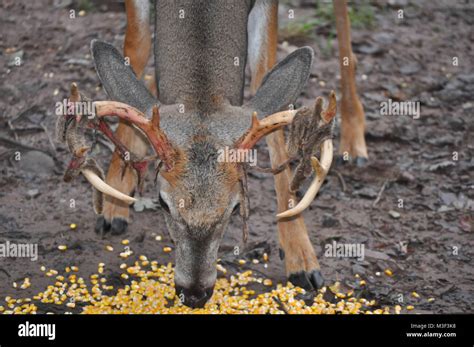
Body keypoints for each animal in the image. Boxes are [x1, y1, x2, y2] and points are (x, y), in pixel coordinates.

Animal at [55, 0, 366, 310]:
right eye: (163, 203)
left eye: (236, 208)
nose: (194, 294)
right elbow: (137, 47)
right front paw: (113, 202)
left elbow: (265, 84)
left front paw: (300, 258)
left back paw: (355, 141)